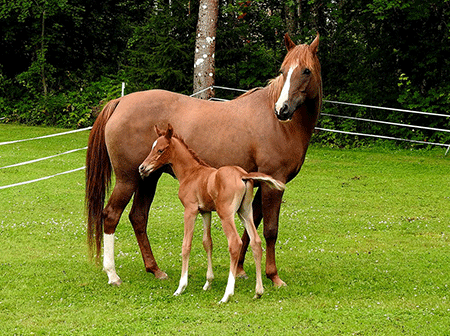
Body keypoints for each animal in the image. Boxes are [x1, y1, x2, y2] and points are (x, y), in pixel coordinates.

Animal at [140, 124, 284, 304]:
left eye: (160, 150)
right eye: (152, 148)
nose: (142, 168)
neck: (191, 173)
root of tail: (242, 175)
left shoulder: (190, 210)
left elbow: (186, 245)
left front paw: (181, 287)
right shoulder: (206, 212)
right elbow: (207, 243)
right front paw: (208, 282)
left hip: (226, 214)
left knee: (235, 243)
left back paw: (227, 294)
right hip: (245, 212)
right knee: (256, 242)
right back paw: (258, 291)